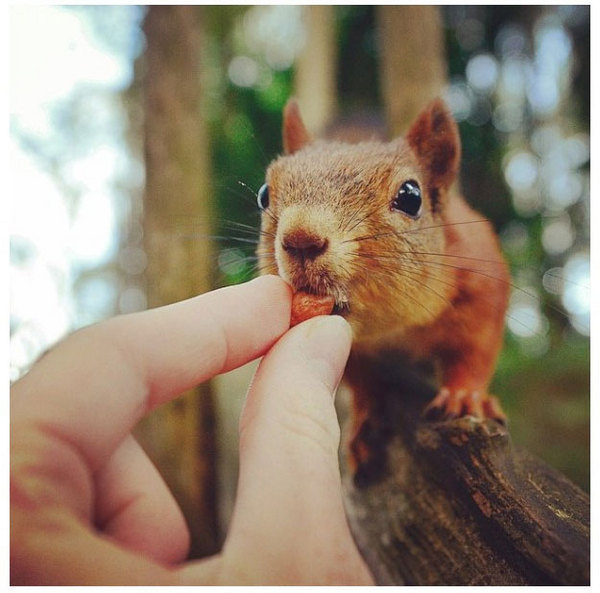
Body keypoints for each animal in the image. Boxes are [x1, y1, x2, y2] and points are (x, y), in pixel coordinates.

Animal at [255, 98, 508, 480]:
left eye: (411, 196)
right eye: (264, 195)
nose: (301, 238)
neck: (391, 327)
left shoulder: (480, 280)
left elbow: (475, 349)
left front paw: (465, 395)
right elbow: (360, 381)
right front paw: (363, 420)